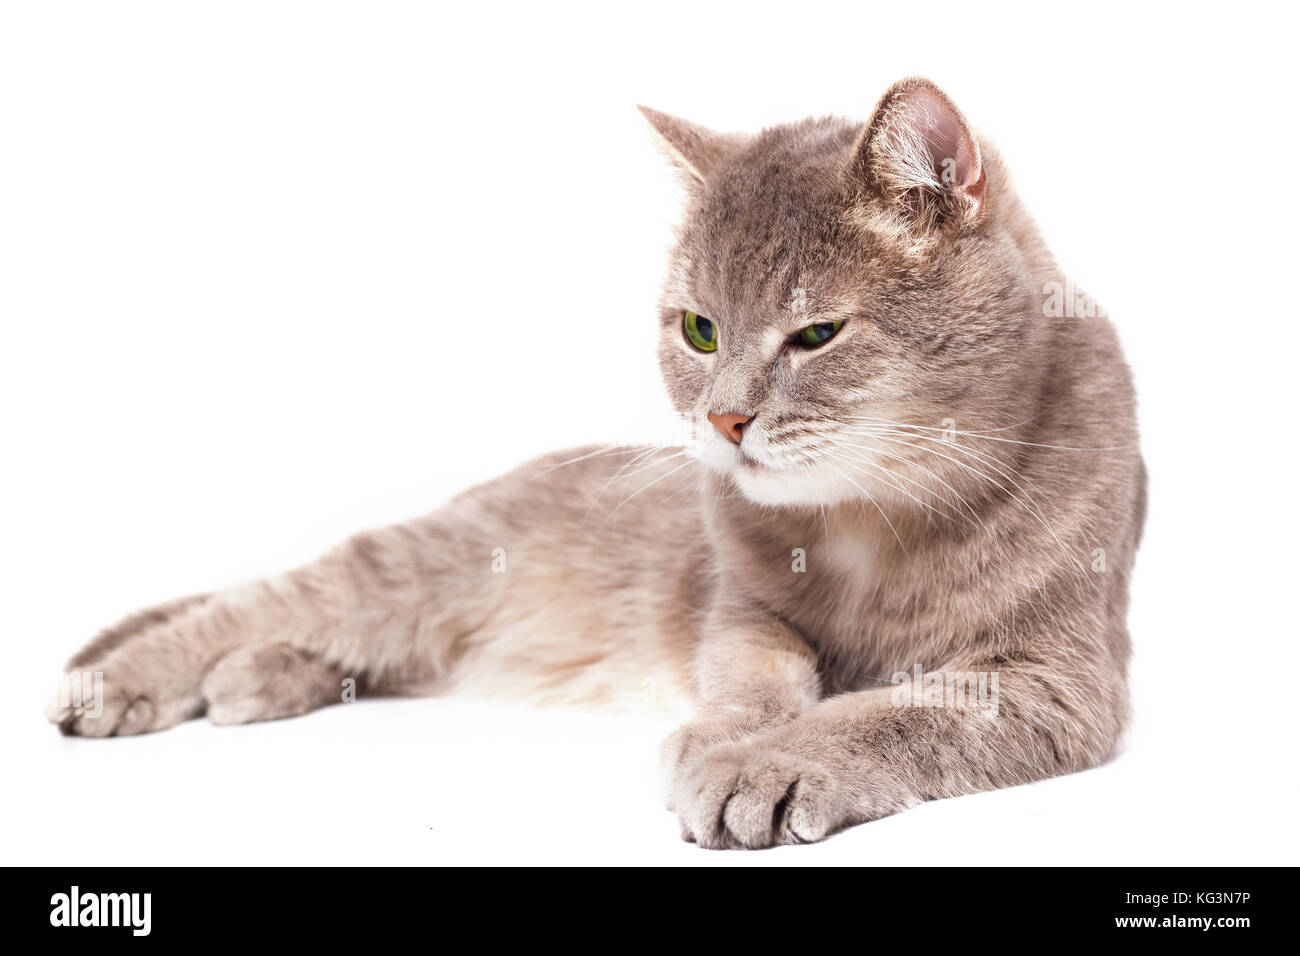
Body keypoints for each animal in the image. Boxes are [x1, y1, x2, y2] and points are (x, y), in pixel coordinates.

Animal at [48, 78, 1149, 848]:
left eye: (816, 333)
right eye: (699, 329)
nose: (727, 419)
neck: (870, 521)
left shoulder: (1055, 681)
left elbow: (891, 713)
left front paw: (774, 764)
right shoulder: (742, 610)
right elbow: (759, 671)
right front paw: (726, 739)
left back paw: (253, 679)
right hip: (420, 567)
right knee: (269, 597)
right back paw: (129, 679)